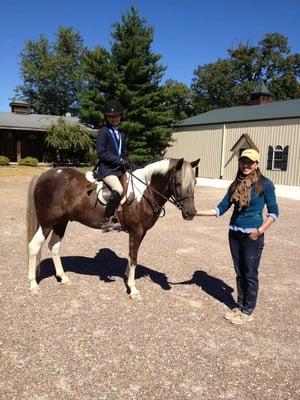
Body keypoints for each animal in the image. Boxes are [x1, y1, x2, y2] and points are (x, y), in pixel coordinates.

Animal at [26, 158, 199, 298]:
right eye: (178, 183)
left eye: (195, 183)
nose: (190, 213)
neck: (144, 193)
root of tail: (43, 176)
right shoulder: (137, 231)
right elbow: (134, 258)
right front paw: (133, 290)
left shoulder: (140, 232)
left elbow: (131, 256)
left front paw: (127, 278)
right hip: (47, 223)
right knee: (34, 246)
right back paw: (33, 285)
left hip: (61, 222)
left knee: (54, 246)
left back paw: (63, 278)